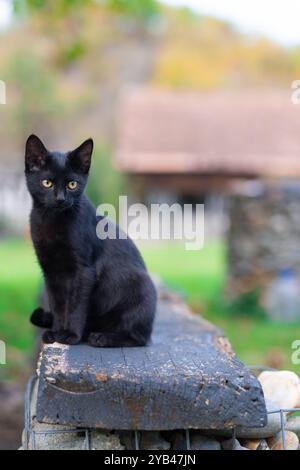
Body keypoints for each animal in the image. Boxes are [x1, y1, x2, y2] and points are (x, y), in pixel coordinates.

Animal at [25, 134, 157, 346]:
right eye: (47, 183)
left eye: (72, 184)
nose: (60, 199)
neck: (53, 222)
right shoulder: (50, 271)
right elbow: (57, 305)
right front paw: (56, 332)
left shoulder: (84, 270)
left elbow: (75, 306)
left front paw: (70, 335)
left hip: (143, 288)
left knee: (138, 337)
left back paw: (102, 337)